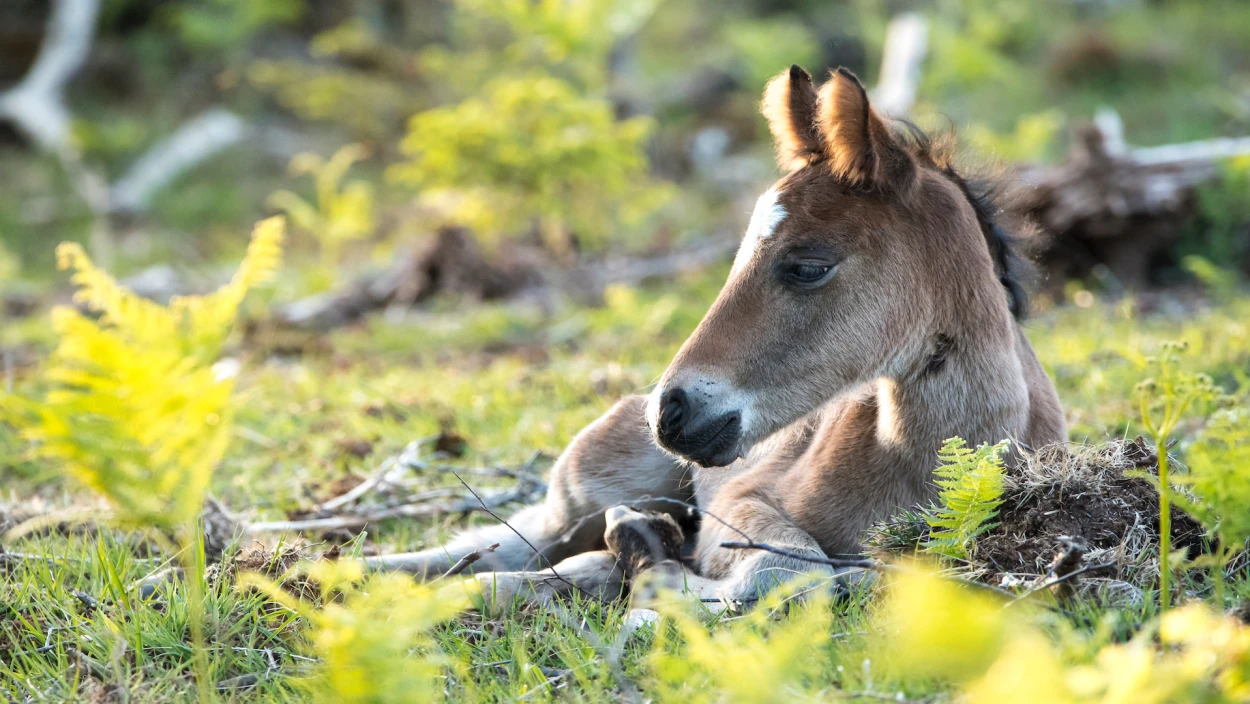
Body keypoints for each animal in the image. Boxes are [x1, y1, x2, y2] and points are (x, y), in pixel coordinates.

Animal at [370, 66, 1065, 602]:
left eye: (808, 266)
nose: (671, 411)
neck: (921, 468)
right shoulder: (745, 498)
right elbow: (789, 571)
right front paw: (653, 568)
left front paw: (644, 562)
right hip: (589, 482)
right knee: (505, 543)